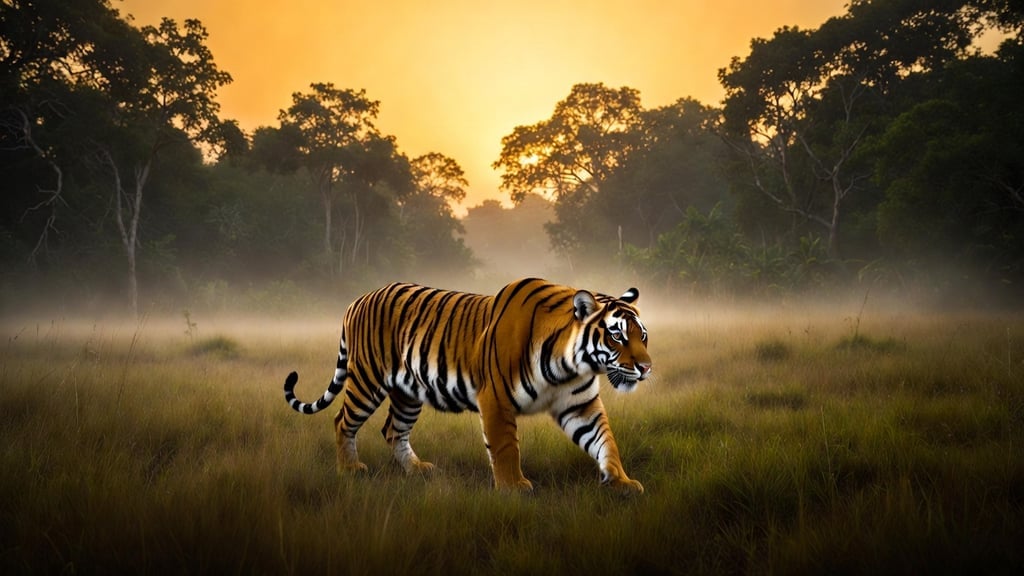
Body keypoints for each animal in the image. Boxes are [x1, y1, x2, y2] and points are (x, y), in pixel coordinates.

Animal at [283, 277, 652, 494]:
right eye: (617, 336)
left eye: (642, 336)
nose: (646, 367)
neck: (571, 365)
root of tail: (357, 299)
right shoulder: (496, 399)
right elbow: (505, 447)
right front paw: (514, 488)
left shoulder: (580, 405)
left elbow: (605, 440)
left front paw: (621, 481)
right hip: (366, 379)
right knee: (342, 421)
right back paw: (350, 469)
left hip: (407, 393)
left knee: (392, 429)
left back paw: (417, 469)